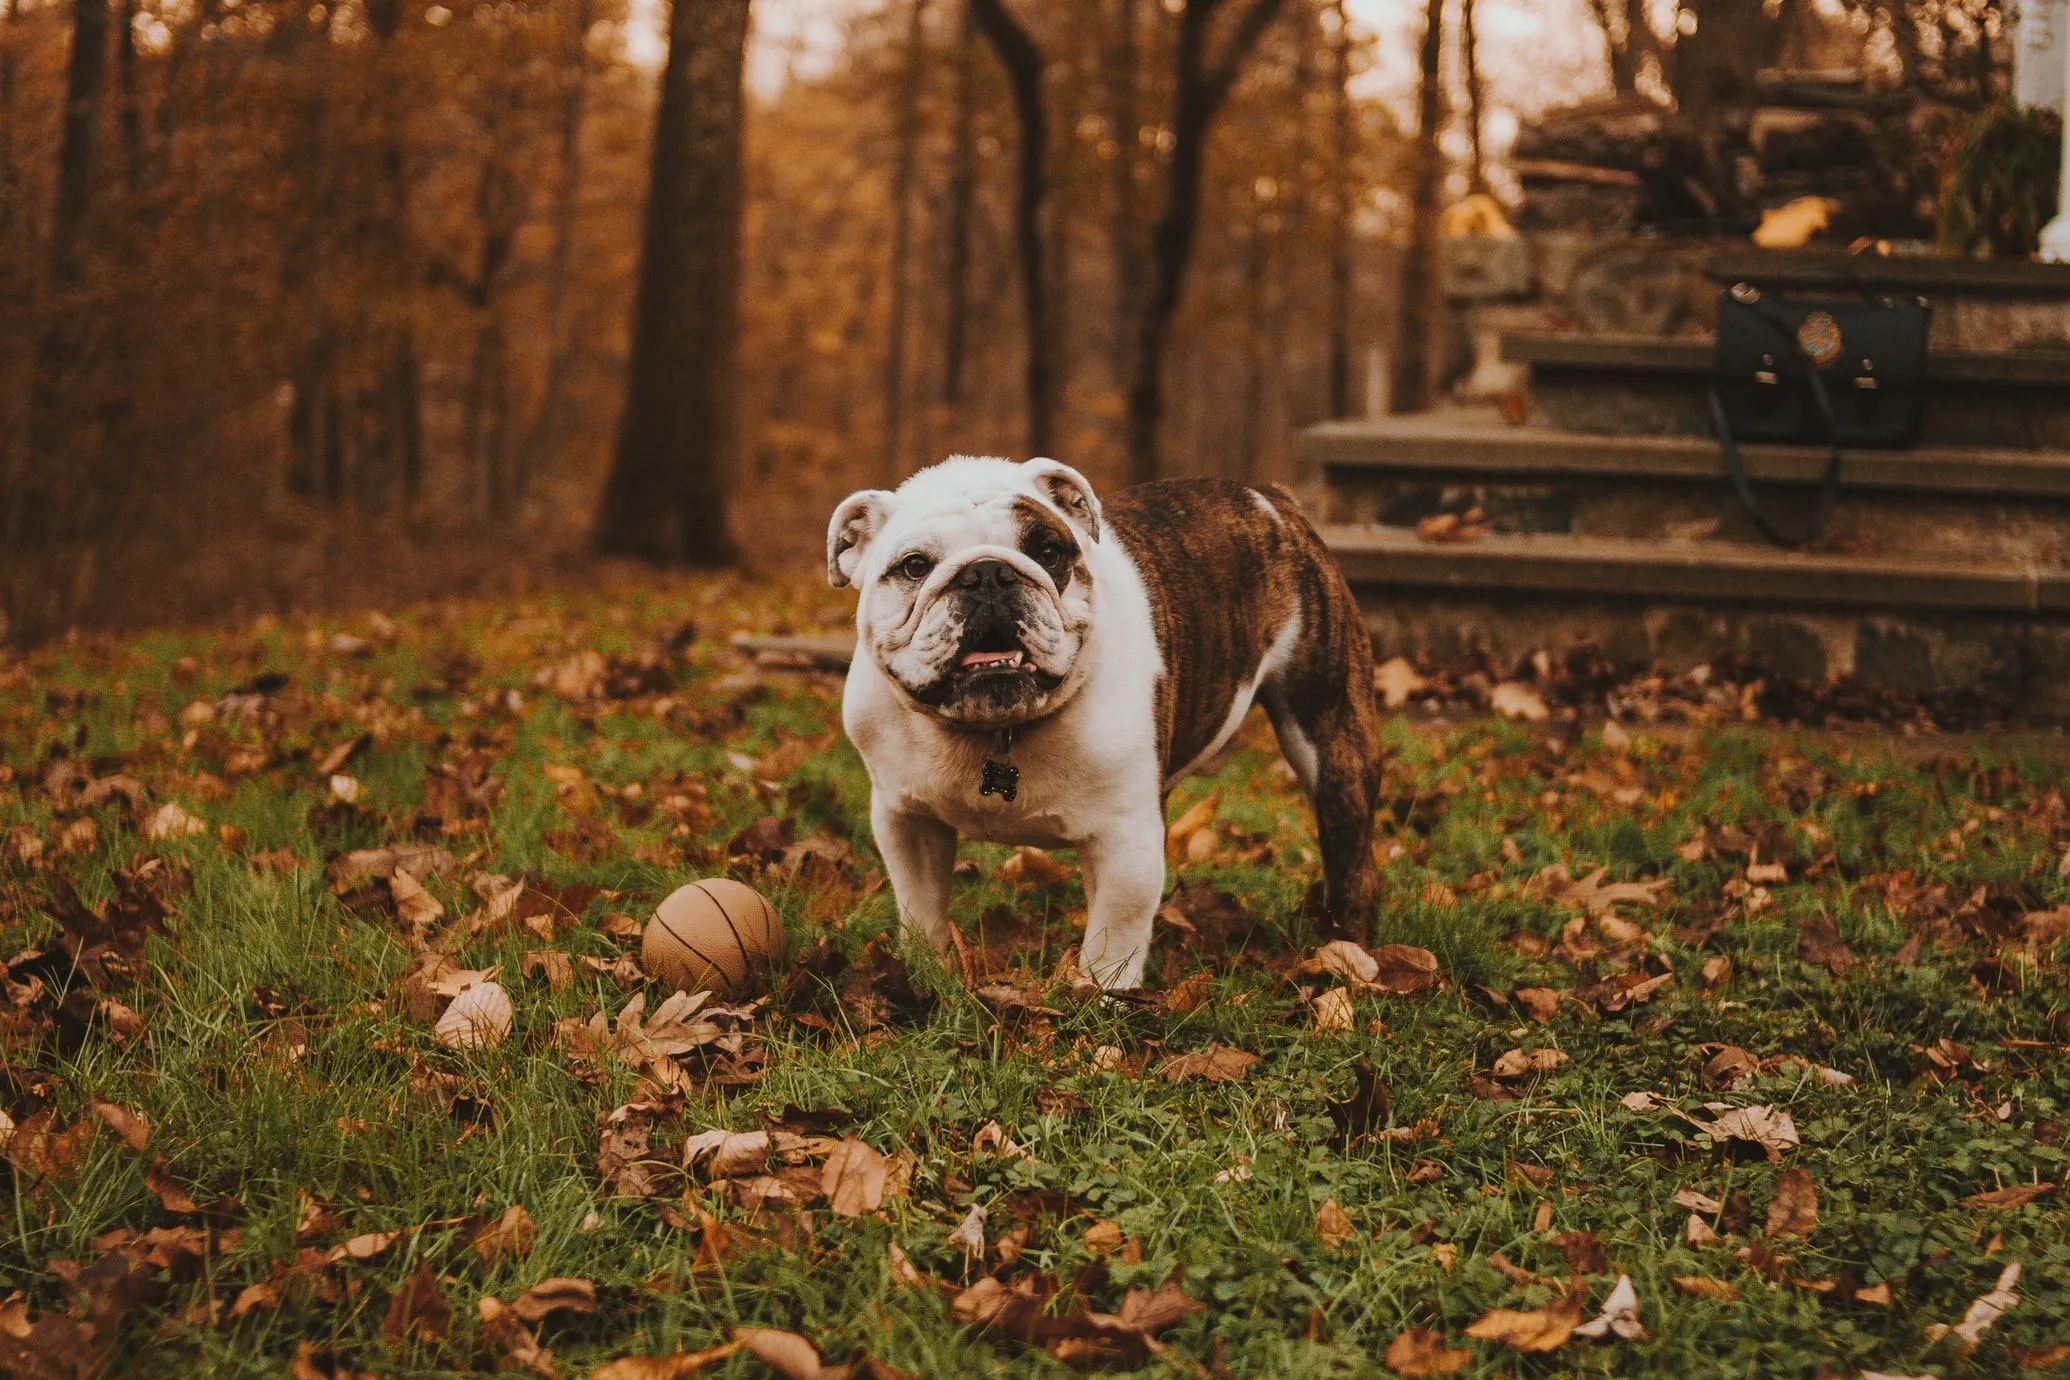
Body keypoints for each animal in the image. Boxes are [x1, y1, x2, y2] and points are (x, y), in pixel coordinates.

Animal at [823, 459, 1374, 988]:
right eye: (915, 565)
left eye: (1048, 551)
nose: (987, 573)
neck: (994, 732)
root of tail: (1270, 498)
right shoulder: (906, 820)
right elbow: (921, 906)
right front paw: (923, 971)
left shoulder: (1126, 843)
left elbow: (1114, 940)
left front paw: (1098, 1000)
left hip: (1329, 736)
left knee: (1351, 852)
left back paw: (1352, 951)